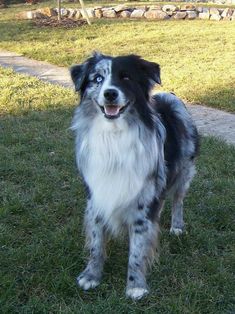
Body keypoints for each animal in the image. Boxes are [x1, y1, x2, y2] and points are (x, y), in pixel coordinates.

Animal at [69, 52, 198, 300]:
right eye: (97, 78)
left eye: (126, 77)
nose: (110, 93)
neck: (114, 136)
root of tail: (169, 97)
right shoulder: (96, 196)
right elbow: (96, 243)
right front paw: (91, 275)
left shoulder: (143, 201)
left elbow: (137, 249)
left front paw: (135, 285)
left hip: (184, 171)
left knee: (178, 199)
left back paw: (177, 226)